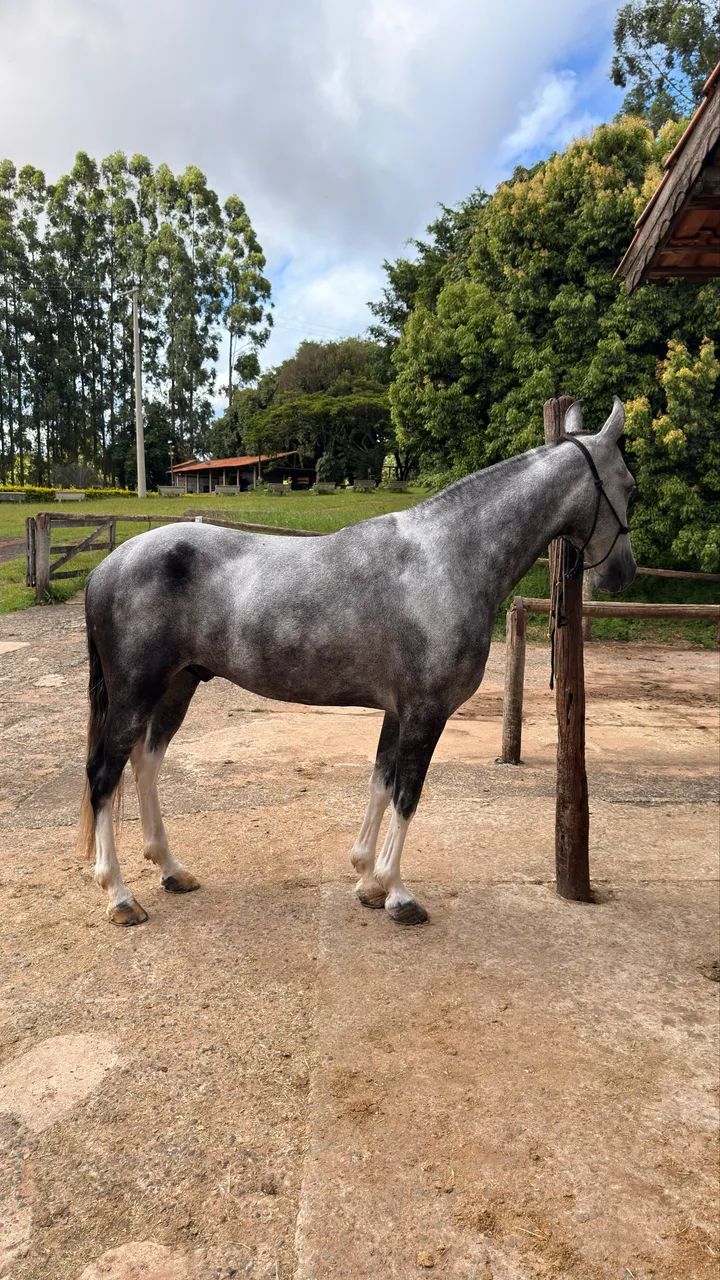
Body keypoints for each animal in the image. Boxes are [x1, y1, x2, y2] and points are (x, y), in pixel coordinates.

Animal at [80, 397, 636, 927]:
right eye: (628, 484)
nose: (622, 575)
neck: (446, 560)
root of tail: (107, 566)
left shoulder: (397, 712)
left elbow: (381, 783)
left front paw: (368, 880)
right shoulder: (425, 713)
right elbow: (408, 794)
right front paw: (398, 893)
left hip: (176, 686)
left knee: (145, 764)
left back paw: (171, 869)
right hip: (135, 693)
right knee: (104, 774)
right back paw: (119, 896)